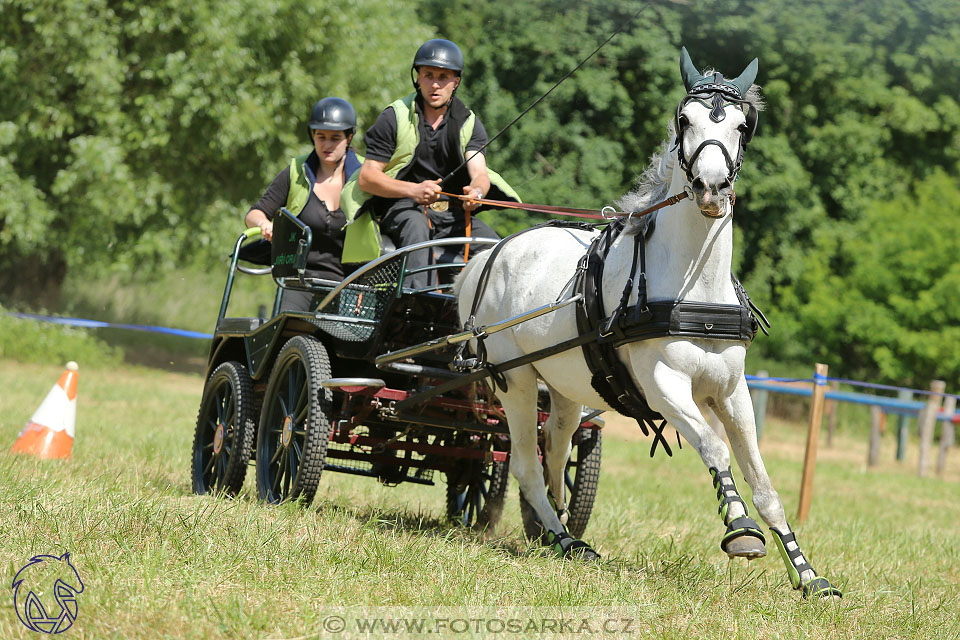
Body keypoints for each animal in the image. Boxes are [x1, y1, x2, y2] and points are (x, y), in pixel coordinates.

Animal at [458, 47, 840, 596]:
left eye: (742, 126)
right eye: (685, 120)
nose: (711, 187)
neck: (693, 285)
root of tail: (489, 254)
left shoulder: (733, 391)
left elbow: (765, 484)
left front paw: (807, 575)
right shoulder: (664, 386)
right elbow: (714, 447)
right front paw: (741, 530)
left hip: (566, 388)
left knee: (555, 451)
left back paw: (555, 531)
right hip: (516, 380)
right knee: (526, 466)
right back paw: (565, 539)